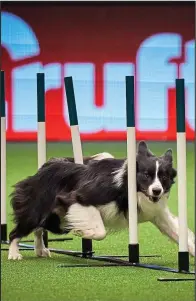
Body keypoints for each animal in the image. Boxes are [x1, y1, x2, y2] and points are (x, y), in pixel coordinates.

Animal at [8, 141, 194, 258]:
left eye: (163, 177)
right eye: (146, 175)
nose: (157, 191)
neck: (128, 187)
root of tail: (46, 166)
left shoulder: (158, 215)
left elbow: (180, 234)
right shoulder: (78, 197)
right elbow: (100, 231)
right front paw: (83, 232)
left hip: (57, 221)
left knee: (40, 229)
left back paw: (41, 250)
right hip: (38, 210)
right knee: (18, 231)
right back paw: (14, 254)